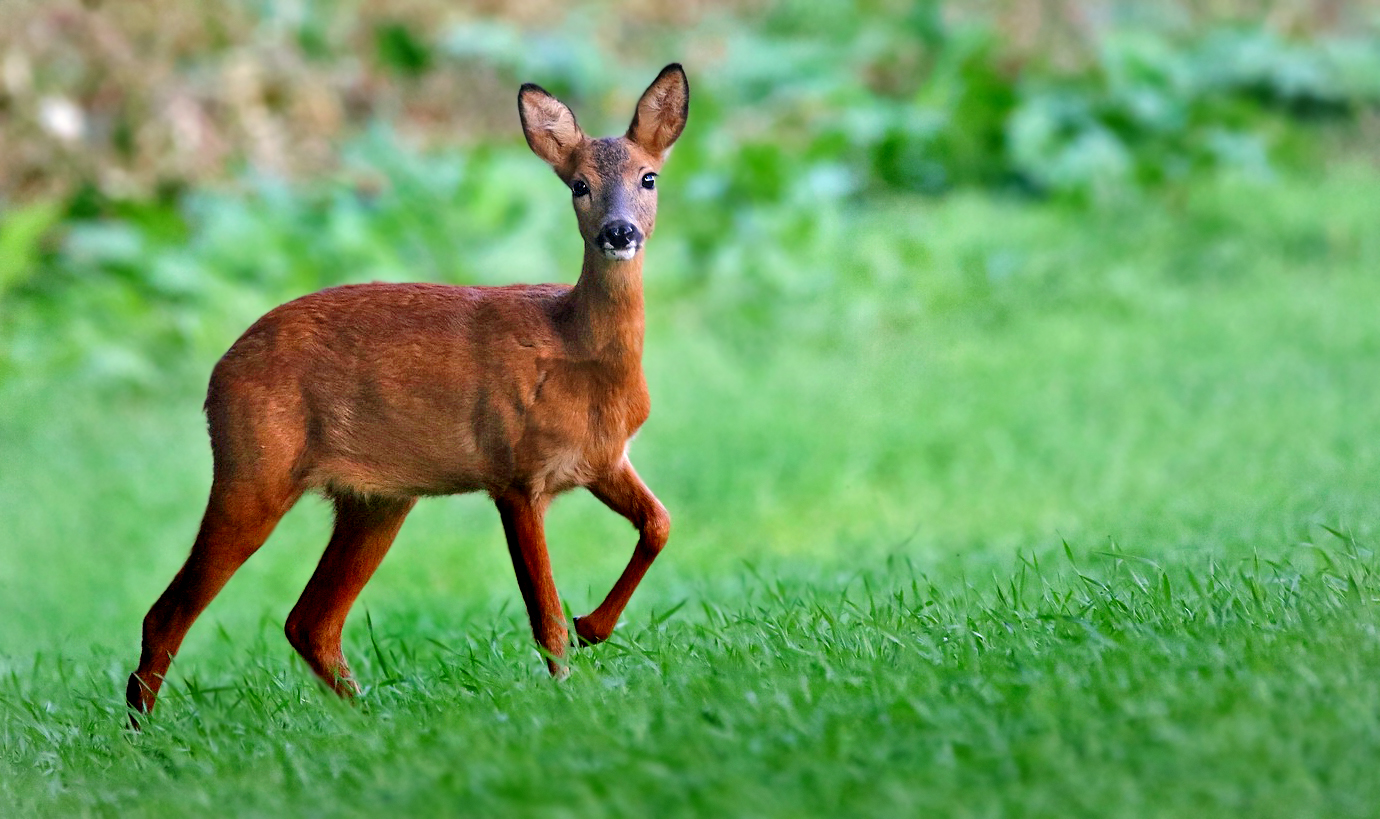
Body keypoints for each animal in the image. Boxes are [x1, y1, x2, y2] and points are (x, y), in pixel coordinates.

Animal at [124, 63, 690, 718]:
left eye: (649, 177)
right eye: (578, 185)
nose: (618, 232)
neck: (576, 351)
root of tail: (218, 372)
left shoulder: (602, 459)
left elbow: (660, 523)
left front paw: (594, 627)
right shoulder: (514, 473)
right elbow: (544, 613)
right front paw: (570, 681)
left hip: (376, 500)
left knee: (308, 620)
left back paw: (367, 714)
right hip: (254, 466)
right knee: (167, 612)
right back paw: (143, 732)